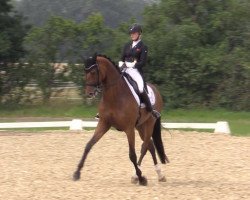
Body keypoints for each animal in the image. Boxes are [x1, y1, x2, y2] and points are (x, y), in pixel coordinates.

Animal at [73, 54, 169, 185]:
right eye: (85, 71)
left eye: (92, 72)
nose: (89, 93)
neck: (115, 96)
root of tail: (155, 88)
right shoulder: (104, 123)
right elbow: (88, 145)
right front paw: (77, 173)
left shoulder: (129, 129)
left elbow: (132, 155)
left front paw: (141, 178)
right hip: (140, 126)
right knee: (150, 146)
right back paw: (160, 175)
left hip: (149, 123)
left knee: (144, 147)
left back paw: (136, 176)